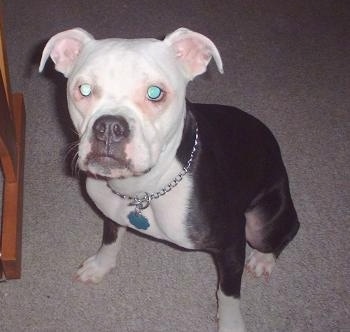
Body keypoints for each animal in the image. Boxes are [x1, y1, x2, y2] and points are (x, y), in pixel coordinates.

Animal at [39, 27, 300, 330]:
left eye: (155, 93)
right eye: (84, 90)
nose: (109, 126)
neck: (143, 189)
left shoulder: (231, 244)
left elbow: (228, 292)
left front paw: (230, 322)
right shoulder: (112, 213)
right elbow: (110, 238)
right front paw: (100, 266)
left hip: (261, 224)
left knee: (288, 230)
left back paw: (263, 259)